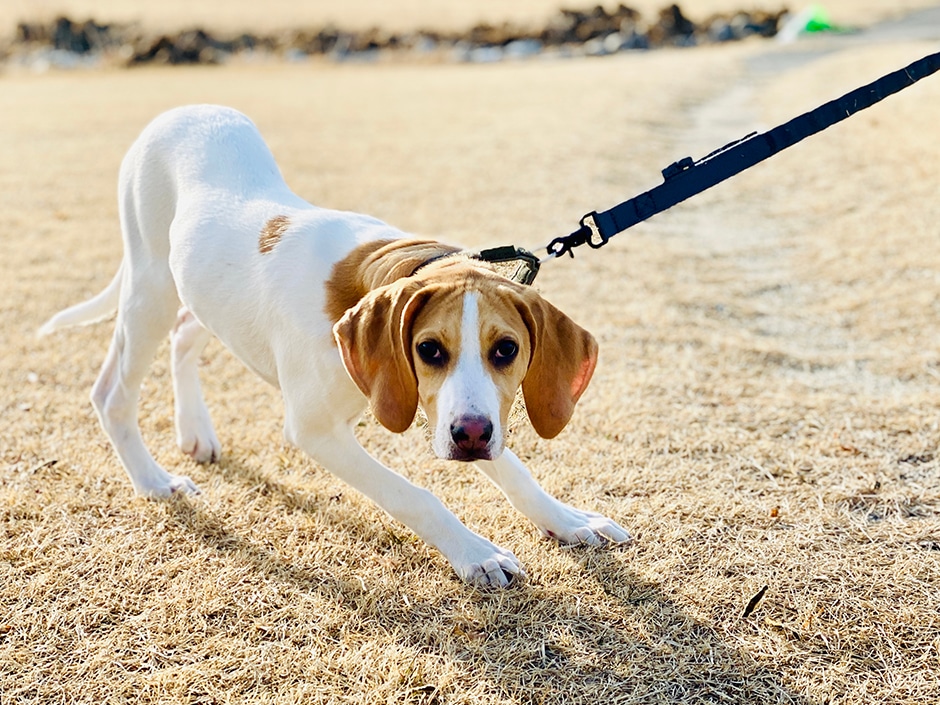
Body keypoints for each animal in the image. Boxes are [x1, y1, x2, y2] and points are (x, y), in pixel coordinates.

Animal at [42, 104, 632, 584]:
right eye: (430, 350)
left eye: (506, 350)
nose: (470, 438)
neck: (377, 271)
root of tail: (177, 112)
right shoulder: (318, 430)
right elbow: (415, 496)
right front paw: (476, 554)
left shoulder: (439, 405)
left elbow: (515, 471)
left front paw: (567, 520)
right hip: (151, 287)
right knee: (113, 392)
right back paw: (154, 481)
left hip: (199, 292)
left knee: (184, 336)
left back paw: (195, 433)